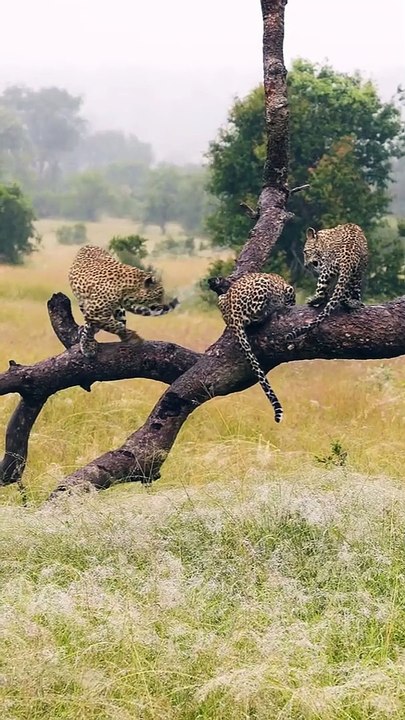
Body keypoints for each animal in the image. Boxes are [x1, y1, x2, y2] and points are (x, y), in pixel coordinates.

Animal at [209, 272, 296, 423]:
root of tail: (234, 313)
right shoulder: (288, 289)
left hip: (222, 299)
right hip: (262, 291)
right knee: (258, 316)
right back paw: (270, 311)